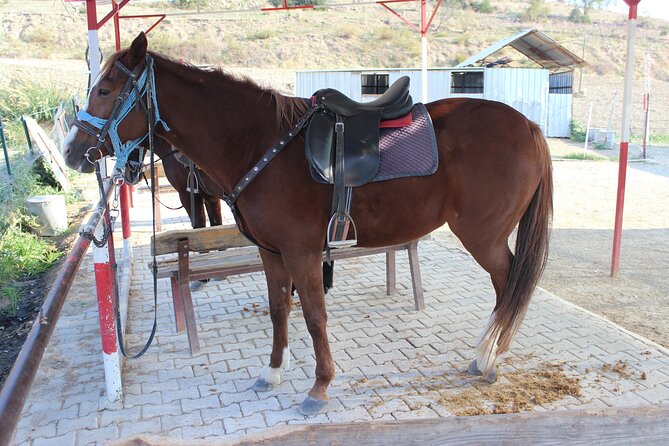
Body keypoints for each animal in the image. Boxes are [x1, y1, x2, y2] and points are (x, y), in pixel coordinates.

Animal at [63, 33, 552, 415]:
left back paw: (488, 358)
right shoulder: (271, 252)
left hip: (483, 237)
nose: (71, 151)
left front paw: (319, 387)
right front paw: (272, 372)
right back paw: (488, 354)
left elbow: (315, 316)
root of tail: (528, 125)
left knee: (509, 285)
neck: (258, 142)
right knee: (508, 289)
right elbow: (280, 309)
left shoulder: (302, 252)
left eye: (104, 90)